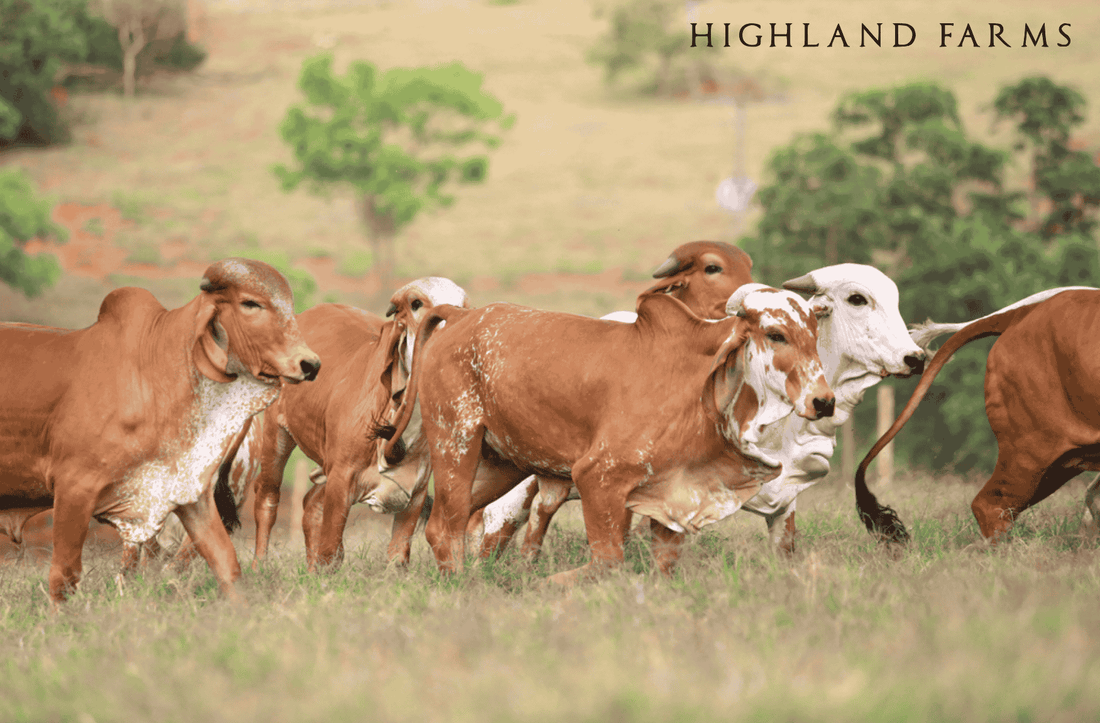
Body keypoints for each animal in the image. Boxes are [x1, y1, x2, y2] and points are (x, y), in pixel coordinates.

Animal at [0, 259, 320, 603]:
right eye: (250, 303)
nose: (310, 364)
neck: (157, 375)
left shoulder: (191, 495)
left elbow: (227, 566)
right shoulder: (74, 488)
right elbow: (64, 577)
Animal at [154, 277, 471, 572]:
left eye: (464, 306)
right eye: (417, 303)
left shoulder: (414, 494)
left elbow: (395, 558)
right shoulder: (341, 480)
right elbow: (330, 549)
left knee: (309, 504)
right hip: (277, 437)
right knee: (268, 502)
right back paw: (259, 566)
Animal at [375, 285, 835, 584]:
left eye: (815, 335)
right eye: (775, 334)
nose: (824, 402)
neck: (698, 388)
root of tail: (462, 317)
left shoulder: (670, 496)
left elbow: (664, 565)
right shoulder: (599, 477)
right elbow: (609, 560)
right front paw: (548, 584)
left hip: (501, 463)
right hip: (457, 440)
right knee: (445, 526)